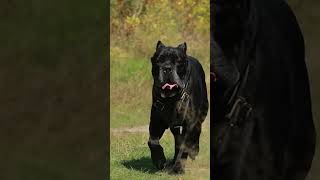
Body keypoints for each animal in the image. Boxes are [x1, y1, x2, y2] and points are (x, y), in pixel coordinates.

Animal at [149, 40, 209, 173]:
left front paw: (178, 168)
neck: (171, 98)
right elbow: (152, 142)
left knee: (195, 136)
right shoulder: (156, 123)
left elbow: (184, 147)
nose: (167, 68)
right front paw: (159, 160)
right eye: (159, 60)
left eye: (178, 61)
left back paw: (193, 152)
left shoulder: (190, 124)